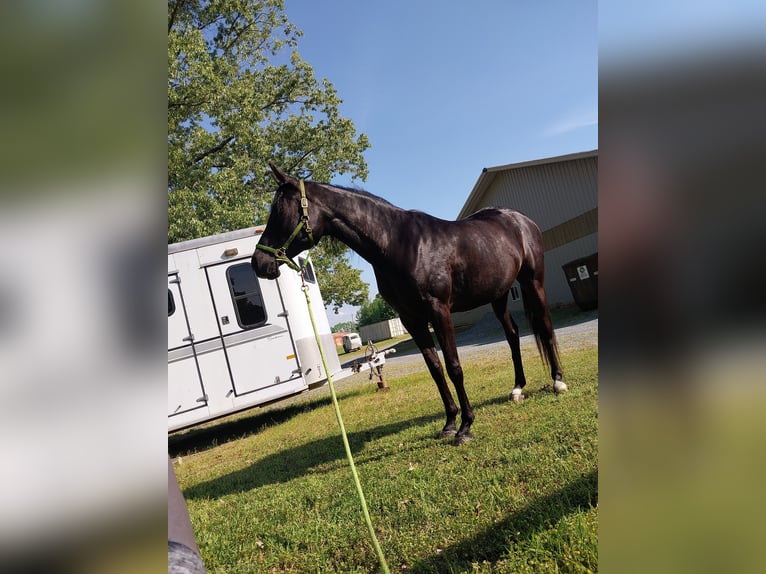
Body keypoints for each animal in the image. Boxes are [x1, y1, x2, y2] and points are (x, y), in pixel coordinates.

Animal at [252, 164, 566, 445]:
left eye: (280, 211)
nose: (259, 263)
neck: (398, 244)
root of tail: (521, 220)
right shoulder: (411, 319)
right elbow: (435, 368)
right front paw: (449, 424)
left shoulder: (439, 311)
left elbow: (453, 366)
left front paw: (466, 427)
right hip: (498, 296)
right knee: (513, 336)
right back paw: (517, 388)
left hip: (533, 283)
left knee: (545, 327)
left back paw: (558, 382)